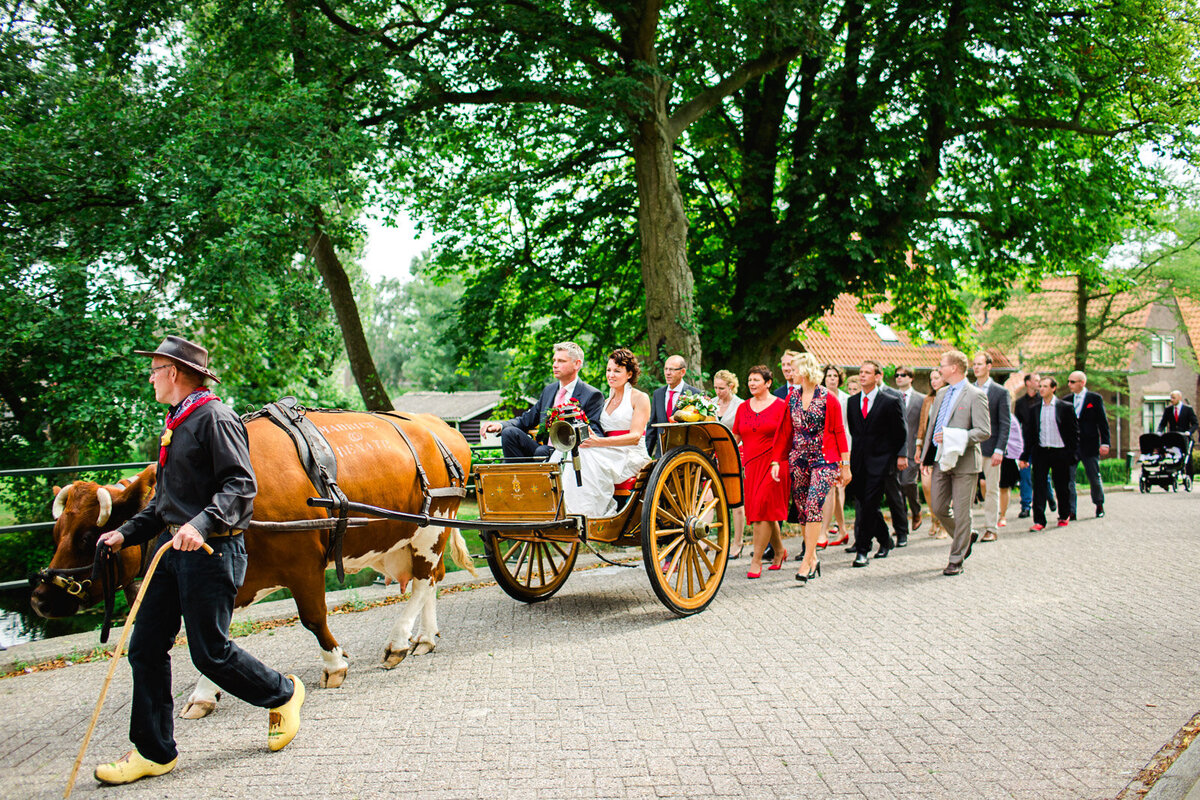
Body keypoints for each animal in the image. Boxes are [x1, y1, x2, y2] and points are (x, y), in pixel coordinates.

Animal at [32, 410, 472, 714]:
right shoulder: (238, 574)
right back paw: (424, 639)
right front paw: (203, 694)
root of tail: (439, 427)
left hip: (431, 528)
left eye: (88, 538)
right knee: (432, 580)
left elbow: (313, 618)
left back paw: (398, 642)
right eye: (55, 534)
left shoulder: (302, 563)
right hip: (416, 537)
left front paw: (334, 663)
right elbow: (216, 635)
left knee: (421, 583)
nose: (40, 598)